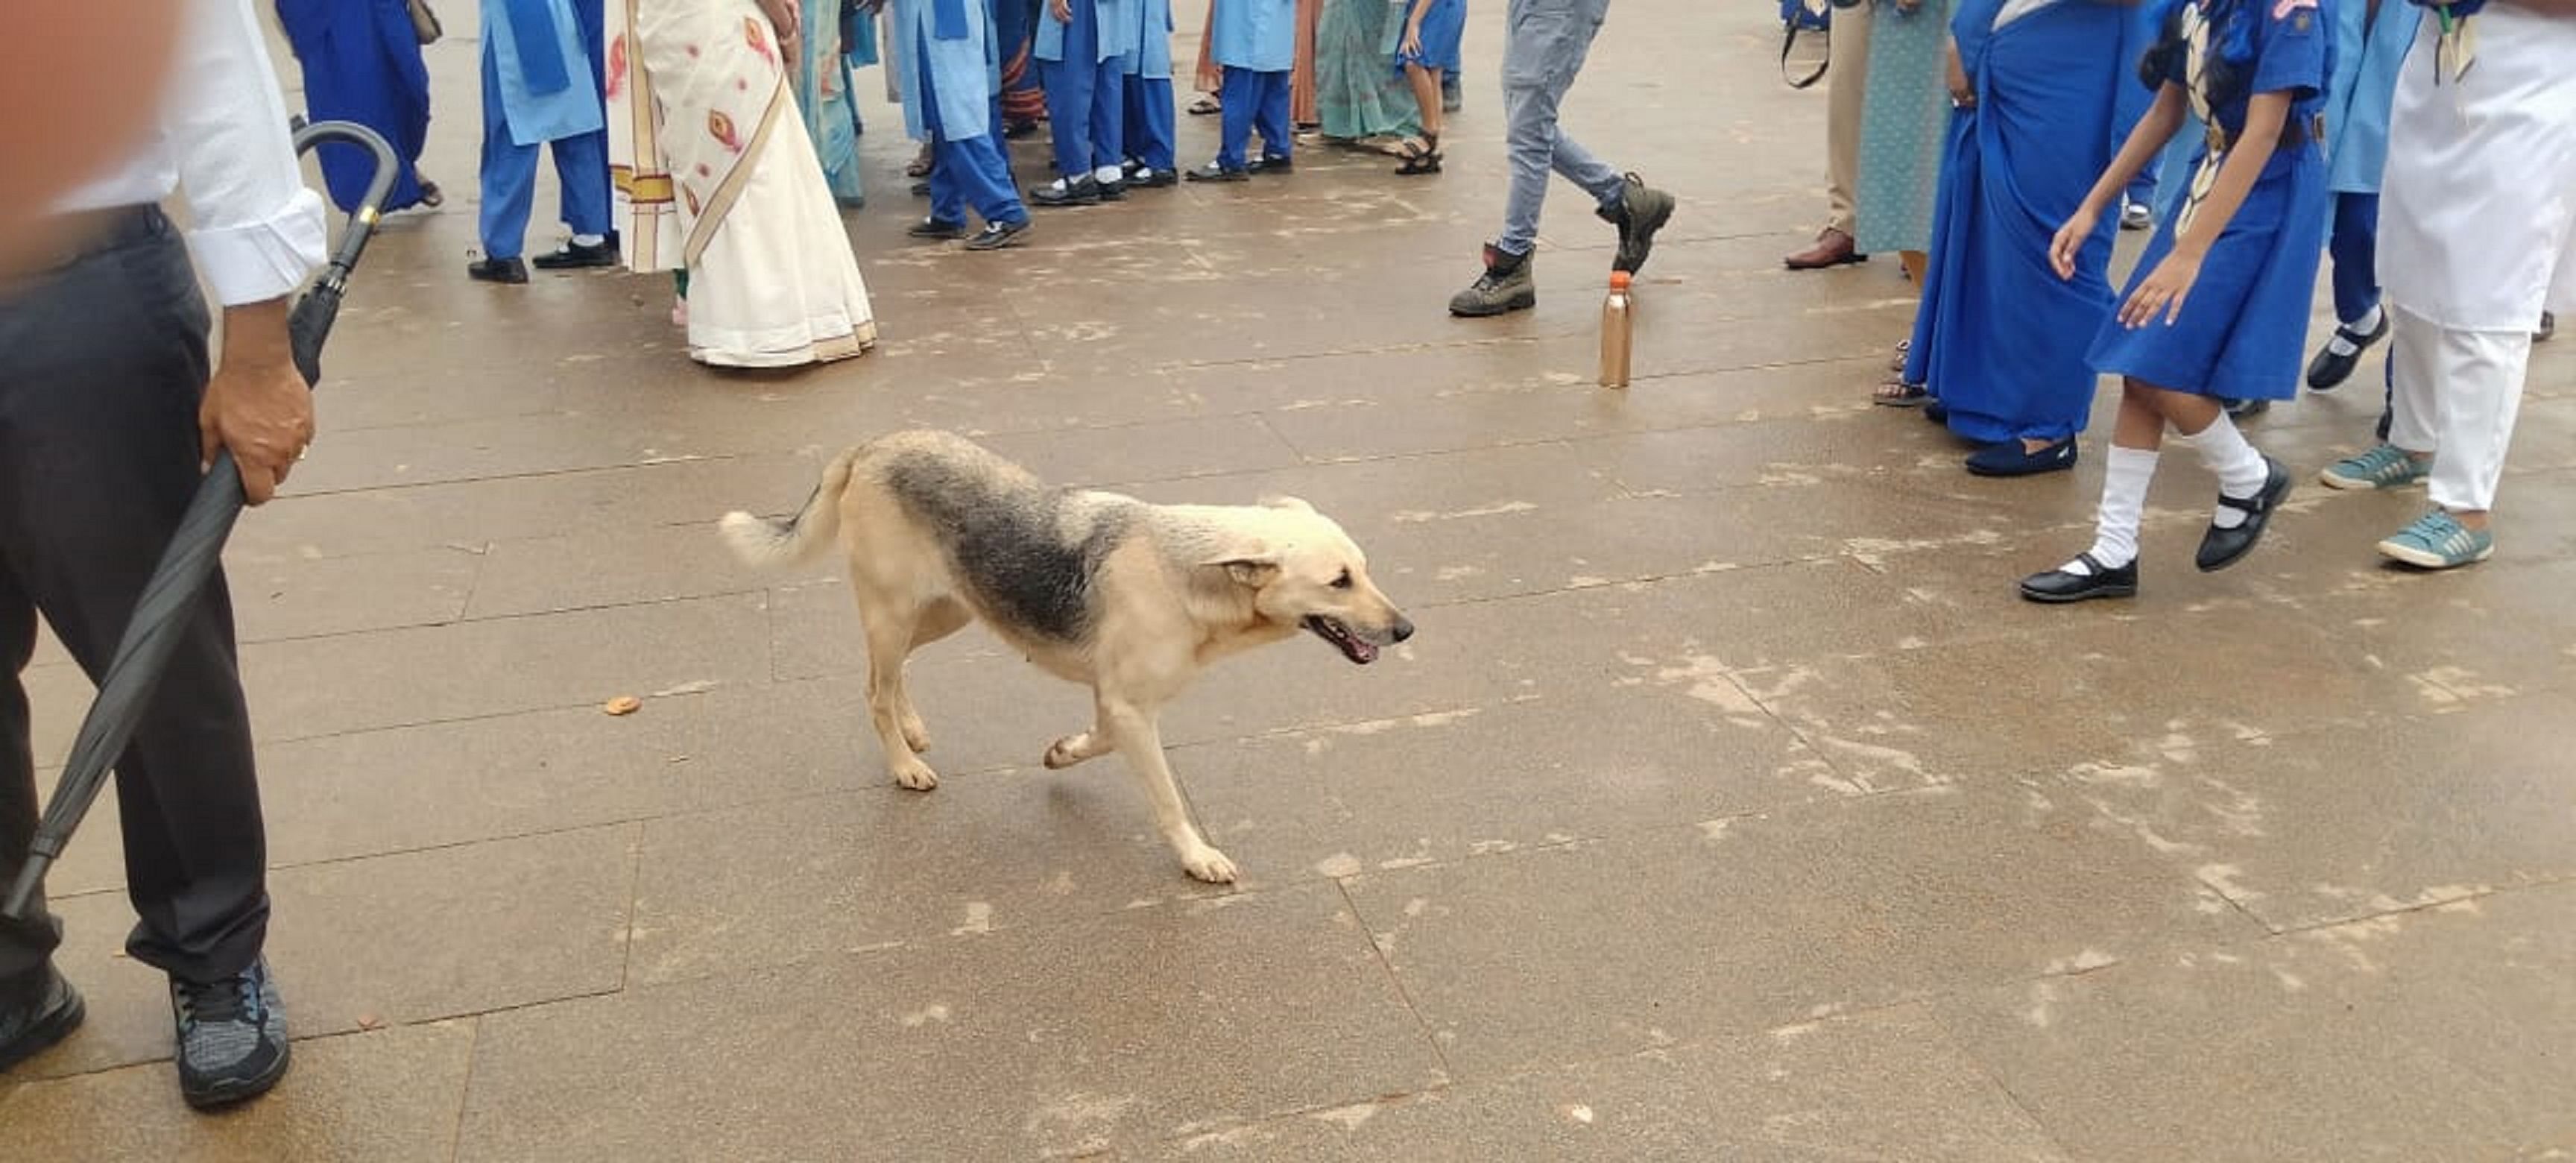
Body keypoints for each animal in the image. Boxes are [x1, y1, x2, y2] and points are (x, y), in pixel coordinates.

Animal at [721, 430, 1411, 881]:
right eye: (1339, 581)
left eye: (1365, 570)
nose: (1405, 629)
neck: (1189, 574)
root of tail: (871, 446)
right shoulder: (1130, 708)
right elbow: (1167, 799)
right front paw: (1197, 857)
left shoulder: (1117, 705)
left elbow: (1094, 742)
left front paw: (1061, 753)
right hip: (897, 612)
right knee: (873, 691)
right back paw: (904, 765)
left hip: (950, 610)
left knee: (890, 678)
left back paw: (913, 729)